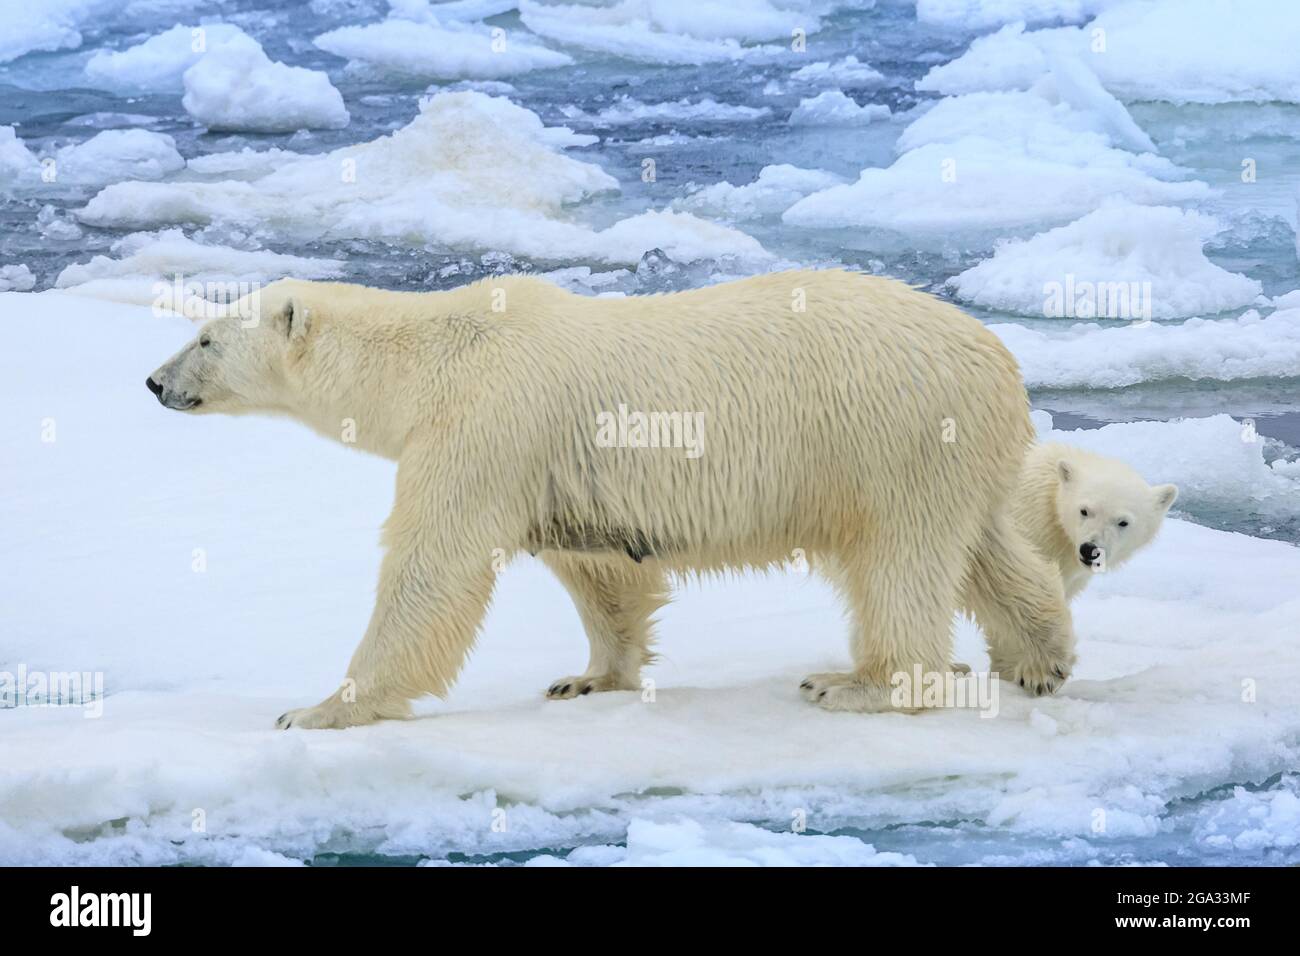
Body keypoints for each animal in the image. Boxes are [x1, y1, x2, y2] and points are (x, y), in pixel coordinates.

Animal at [147, 273, 1071, 728]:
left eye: (206, 337)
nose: (154, 381)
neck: (430, 355)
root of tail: (1000, 359)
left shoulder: (484, 425)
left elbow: (433, 567)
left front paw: (318, 709)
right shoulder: (550, 463)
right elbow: (597, 570)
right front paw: (591, 677)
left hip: (888, 437)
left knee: (897, 561)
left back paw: (859, 685)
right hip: (950, 454)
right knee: (982, 546)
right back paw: (1042, 657)